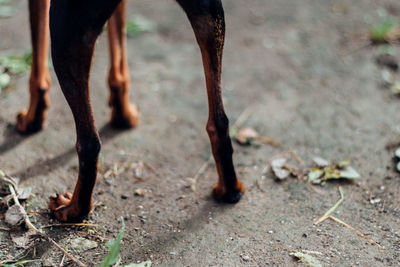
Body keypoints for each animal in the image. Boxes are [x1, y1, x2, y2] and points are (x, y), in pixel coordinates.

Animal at [20, 0, 245, 222]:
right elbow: (119, 59)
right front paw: (123, 115)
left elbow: (37, 64)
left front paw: (32, 118)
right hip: (210, 18)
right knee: (219, 122)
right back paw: (230, 189)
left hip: (67, 31)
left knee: (89, 144)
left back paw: (74, 209)